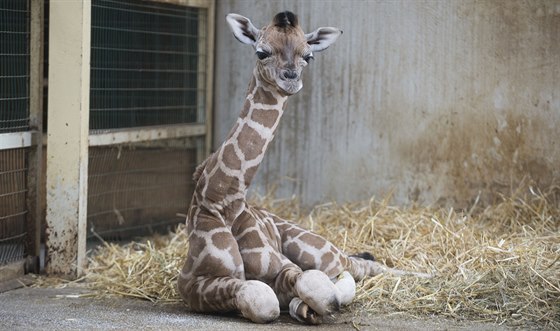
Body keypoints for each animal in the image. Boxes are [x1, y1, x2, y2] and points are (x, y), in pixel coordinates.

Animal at [177, 11, 430, 326]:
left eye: (308, 56)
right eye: (261, 52)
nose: (291, 80)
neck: (221, 198)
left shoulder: (283, 266)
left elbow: (318, 289)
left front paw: (321, 301)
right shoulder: (193, 283)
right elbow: (262, 297)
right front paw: (304, 307)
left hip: (317, 249)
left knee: (362, 265)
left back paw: (429, 275)